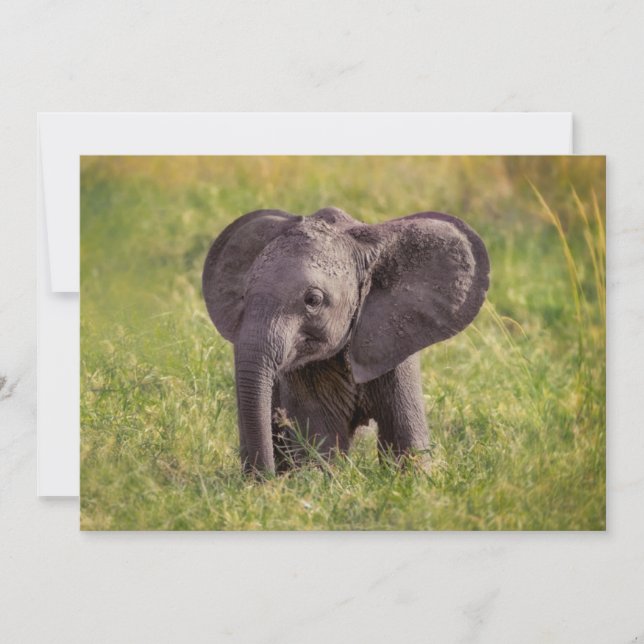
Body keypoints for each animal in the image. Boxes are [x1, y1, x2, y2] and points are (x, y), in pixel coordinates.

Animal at [202, 206, 489, 475]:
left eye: (313, 300)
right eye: (244, 295)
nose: (266, 479)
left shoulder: (395, 346)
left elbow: (405, 440)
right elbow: (320, 440)